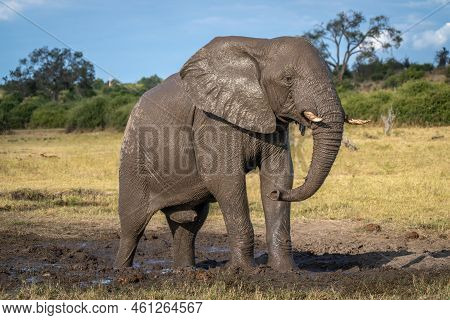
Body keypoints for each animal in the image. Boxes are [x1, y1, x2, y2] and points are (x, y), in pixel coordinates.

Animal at [114, 35, 368, 272]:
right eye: (288, 79)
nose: (278, 194)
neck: (261, 47)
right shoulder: (212, 119)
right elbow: (225, 178)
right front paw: (245, 271)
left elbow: (278, 174)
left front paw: (286, 271)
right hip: (133, 158)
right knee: (132, 225)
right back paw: (122, 273)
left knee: (189, 223)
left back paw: (185, 271)